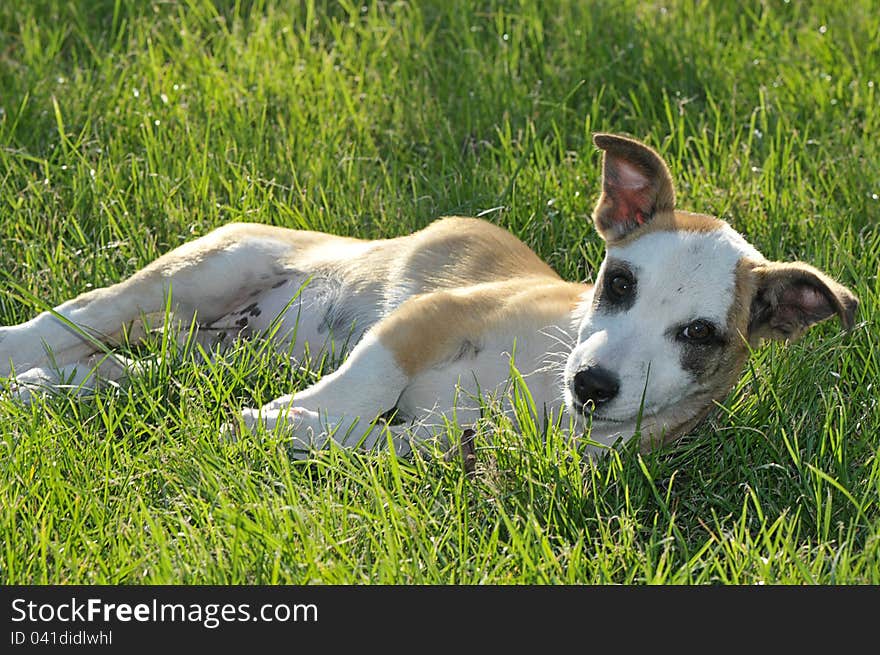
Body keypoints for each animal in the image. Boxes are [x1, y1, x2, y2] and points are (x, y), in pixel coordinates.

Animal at [0, 136, 856, 458]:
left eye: (700, 334)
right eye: (618, 284)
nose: (592, 384)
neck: (540, 385)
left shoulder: (450, 440)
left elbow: (371, 438)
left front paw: (295, 431)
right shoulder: (428, 316)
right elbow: (364, 380)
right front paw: (285, 417)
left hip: (206, 354)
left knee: (131, 372)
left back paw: (48, 388)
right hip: (202, 270)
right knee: (77, 315)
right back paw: (21, 355)